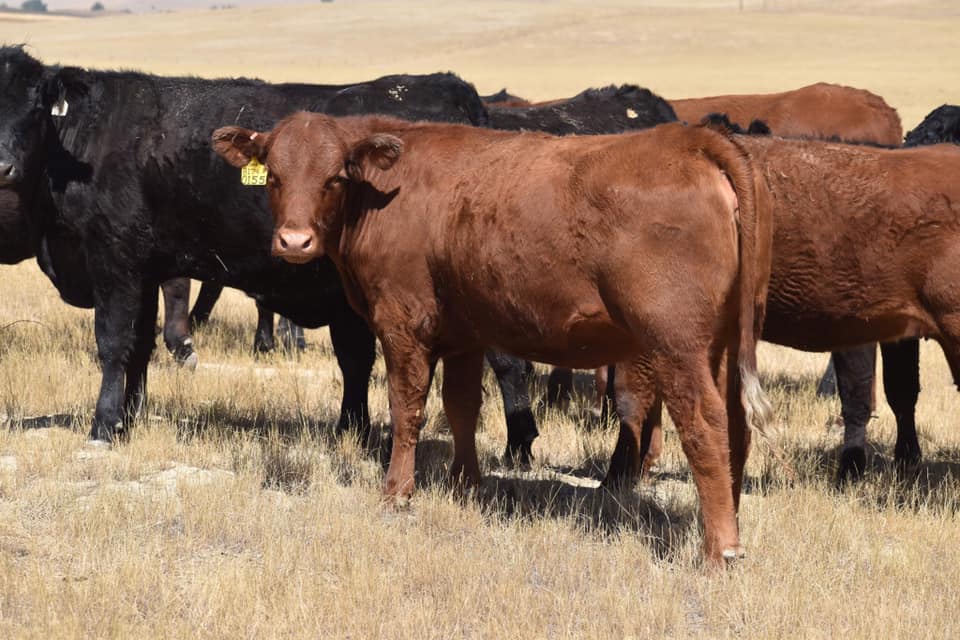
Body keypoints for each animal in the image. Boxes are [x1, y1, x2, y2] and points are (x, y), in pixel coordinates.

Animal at [0, 46, 537, 452]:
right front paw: (127, 419)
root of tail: (454, 91)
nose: (3, 165)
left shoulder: (113, 260)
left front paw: (101, 427)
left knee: (508, 361)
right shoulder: (147, 268)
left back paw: (518, 446)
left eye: (34, 108)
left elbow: (113, 344)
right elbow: (140, 348)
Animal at [212, 112, 774, 562]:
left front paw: (397, 492)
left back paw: (719, 549)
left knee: (704, 425)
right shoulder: (464, 334)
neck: (386, 193)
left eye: (333, 178)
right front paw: (465, 485)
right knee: (737, 428)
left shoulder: (402, 323)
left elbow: (406, 406)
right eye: (274, 176)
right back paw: (731, 522)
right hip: (723, 344)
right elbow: (462, 406)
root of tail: (691, 141)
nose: (294, 242)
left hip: (676, 345)